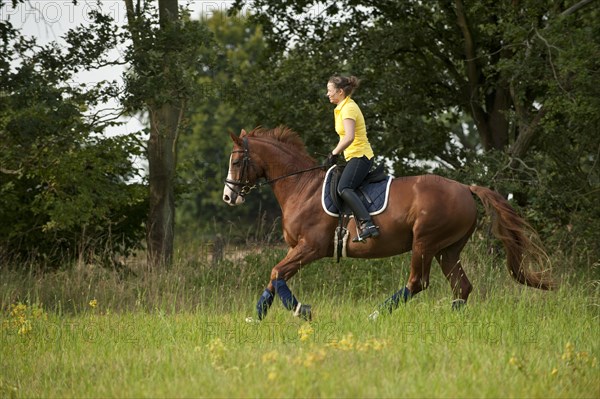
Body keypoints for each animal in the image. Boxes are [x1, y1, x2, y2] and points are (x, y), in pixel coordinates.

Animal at [221, 128, 552, 322]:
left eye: (236, 162)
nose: (228, 196)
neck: (301, 187)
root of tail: (465, 188)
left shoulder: (310, 247)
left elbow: (276, 273)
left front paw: (302, 310)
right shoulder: (298, 249)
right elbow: (274, 278)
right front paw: (255, 318)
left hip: (425, 242)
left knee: (418, 282)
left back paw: (375, 315)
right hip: (448, 249)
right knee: (461, 286)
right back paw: (452, 321)